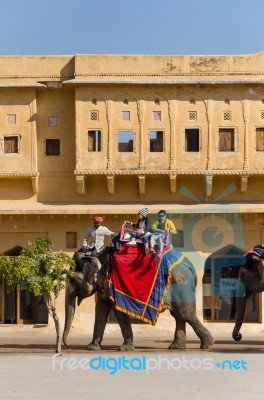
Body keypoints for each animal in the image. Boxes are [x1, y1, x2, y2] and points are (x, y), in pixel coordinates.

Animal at [63, 244, 216, 350]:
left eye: (72, 279)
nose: (68, 346)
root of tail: (190, 266)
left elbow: (118, 313)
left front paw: (125, 348)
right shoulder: (104, 284)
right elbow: (101, 309)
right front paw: (91, 348)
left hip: (180, 283)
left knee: (185, 313)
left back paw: (208, 344)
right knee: (178, 315)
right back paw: (176, 347)